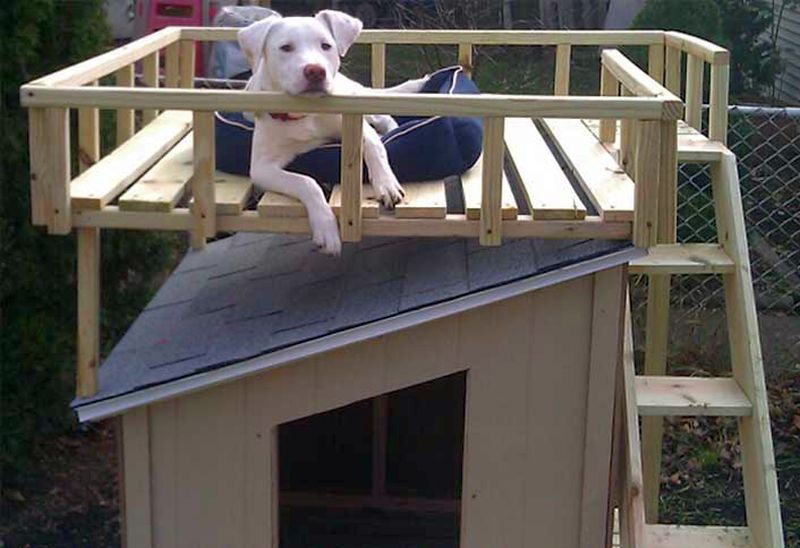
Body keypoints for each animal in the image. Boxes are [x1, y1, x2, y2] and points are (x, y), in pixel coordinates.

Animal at [236, 10, 424, 255]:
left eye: (326, 46)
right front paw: (326, 228)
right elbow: (306, 182)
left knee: (383, 118)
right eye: (285, 48)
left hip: (357, 97)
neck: (305, 113)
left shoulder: (355, 121)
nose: (315, 70)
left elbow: (375, 146)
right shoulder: (261, 168)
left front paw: (386, 183)